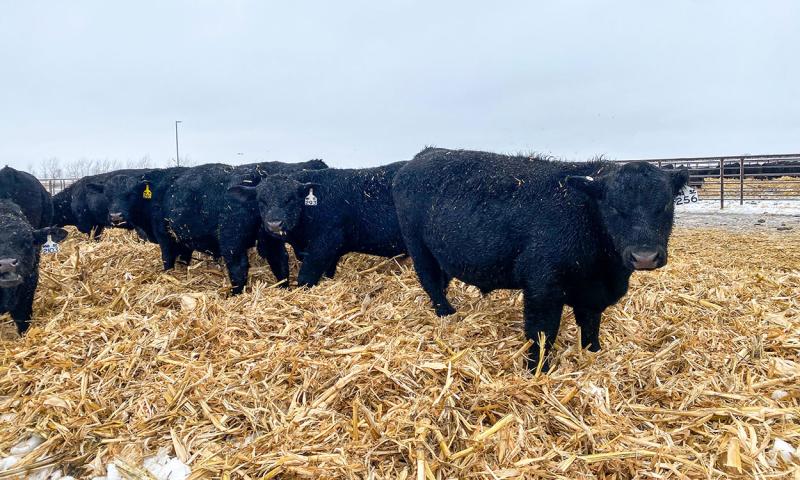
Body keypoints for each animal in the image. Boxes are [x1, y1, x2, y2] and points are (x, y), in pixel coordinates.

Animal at [392, 148, 689, 373]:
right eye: (614, 207)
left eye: (665, 205)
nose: (644, 257)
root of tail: (425, 154)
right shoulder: (542, 288)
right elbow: (541, 333)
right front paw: (537, 370)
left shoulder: (591, 293)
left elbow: (591, 326)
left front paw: (593, 352)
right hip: (420, 249)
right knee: (431, 282)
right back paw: (446, 313)